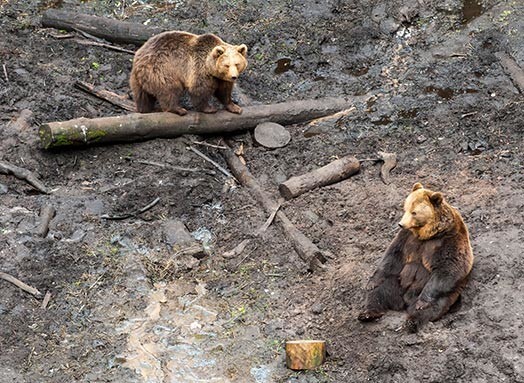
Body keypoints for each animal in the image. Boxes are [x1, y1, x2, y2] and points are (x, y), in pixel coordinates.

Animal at [358, 183, 472, 332]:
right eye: (405, 208)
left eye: (414, 212)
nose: (401, 224)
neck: (428, 234)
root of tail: (404, 302)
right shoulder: (407, 238)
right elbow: (392, 256)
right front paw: (371, 283)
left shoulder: (450, 239)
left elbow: (450, 267)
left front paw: (422, 303)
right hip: (397, 282)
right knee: (379, 291)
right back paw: (368, 313)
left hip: (445, 295)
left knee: (433, 307)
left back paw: (411, 321)